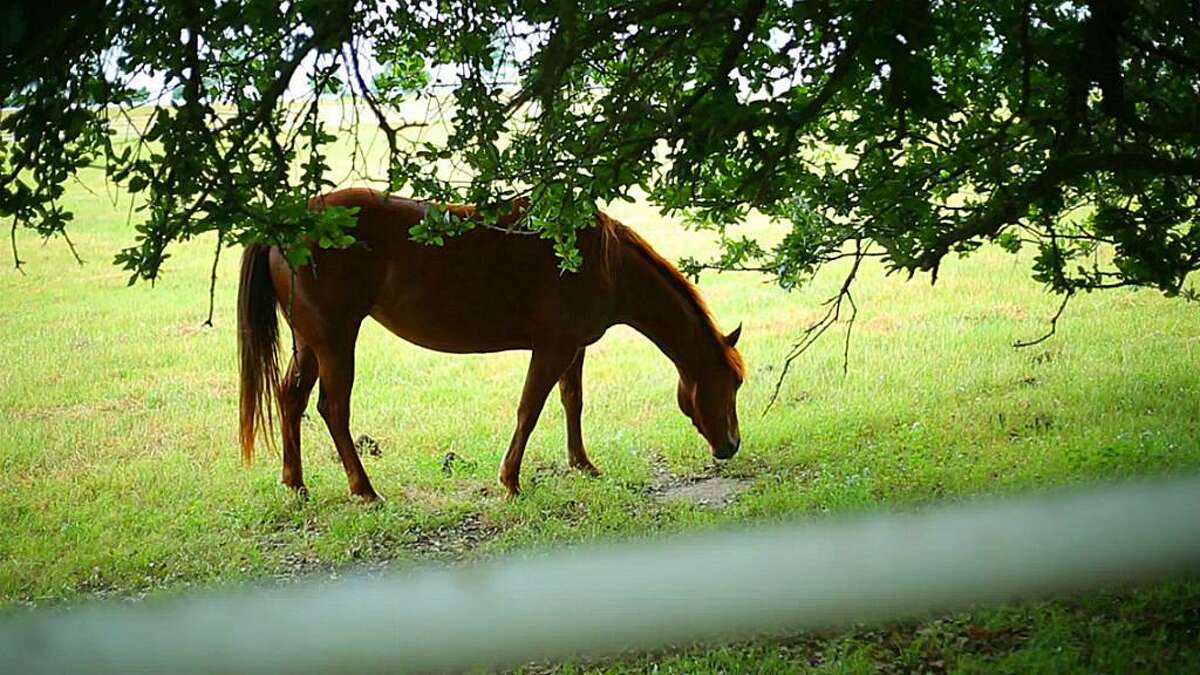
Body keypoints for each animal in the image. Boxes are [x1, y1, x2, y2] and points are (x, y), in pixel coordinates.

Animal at [237, 188, 746, 500]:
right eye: (732, 382)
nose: (731, 446)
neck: (604, 261)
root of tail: (285, 223)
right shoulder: (552, 348)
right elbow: (529, 409)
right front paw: (511, 481)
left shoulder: (574, 348)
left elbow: (572, 402)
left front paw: (582, 464)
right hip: (336, 341)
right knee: (333, 409)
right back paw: (363, 489)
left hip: (309, 342)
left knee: (290, 399)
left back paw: (295, 484)